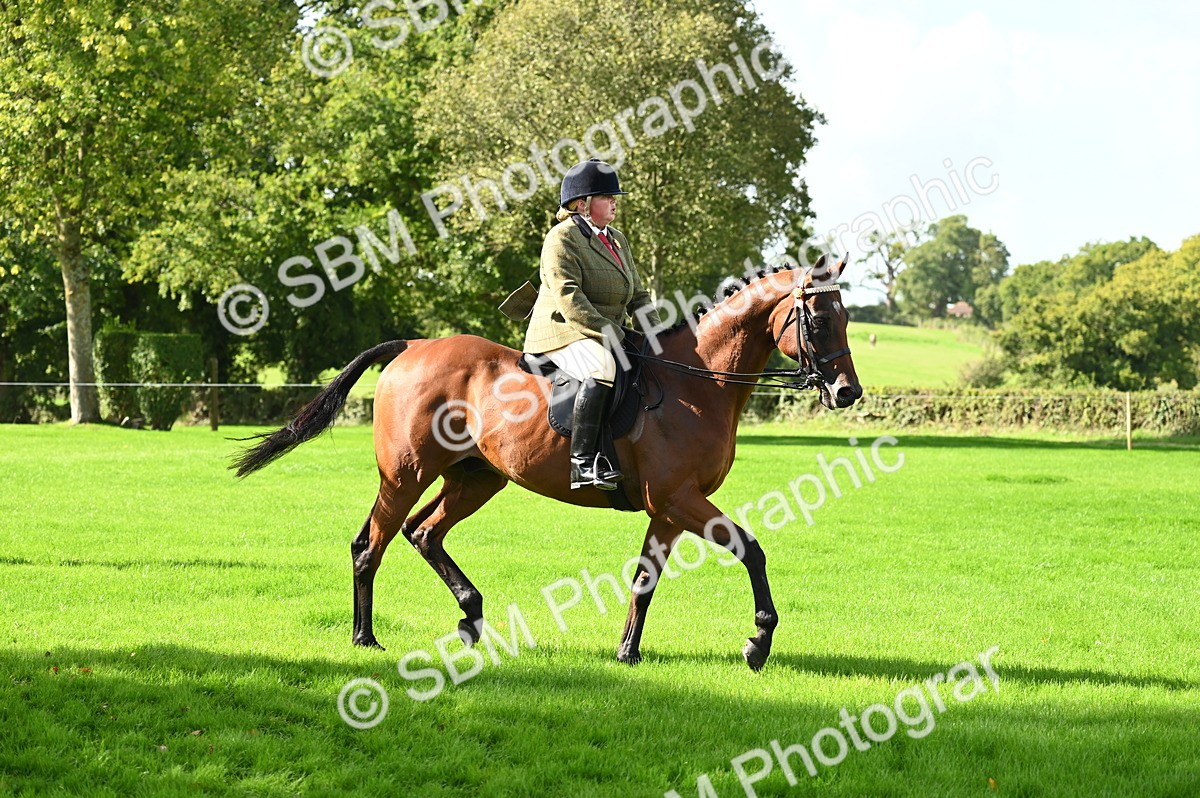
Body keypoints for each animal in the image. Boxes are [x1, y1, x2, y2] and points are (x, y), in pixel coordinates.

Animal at [232, 255, 861, 671]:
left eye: (847, 317)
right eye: (817, 319)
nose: (847, 393)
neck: (697, 380)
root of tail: (412, 346)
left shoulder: (669, 508)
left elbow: (644, 580)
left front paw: (627, 652)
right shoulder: (680, 498)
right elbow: (752, 549)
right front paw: (759, 642)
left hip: (475, 479)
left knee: (424, 533)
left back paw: (471, 618)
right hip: (406, 474)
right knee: (373, 544)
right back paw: (366, 639)